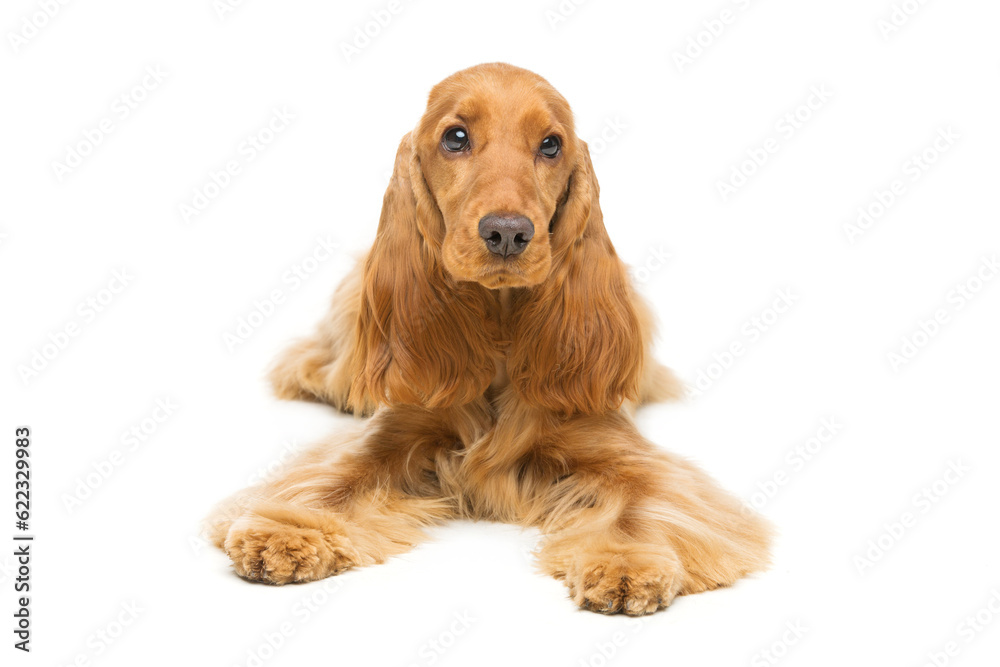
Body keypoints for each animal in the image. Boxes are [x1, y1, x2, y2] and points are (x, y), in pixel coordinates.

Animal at [205, 61, 772, 616]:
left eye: (551, 144)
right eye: (455, 137)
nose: (507, 233)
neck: (499, 326)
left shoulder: (619, 448)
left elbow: (646, 507)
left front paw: (626, 562)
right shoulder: (394, 432)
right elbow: (331, 478)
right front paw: (285, 531)